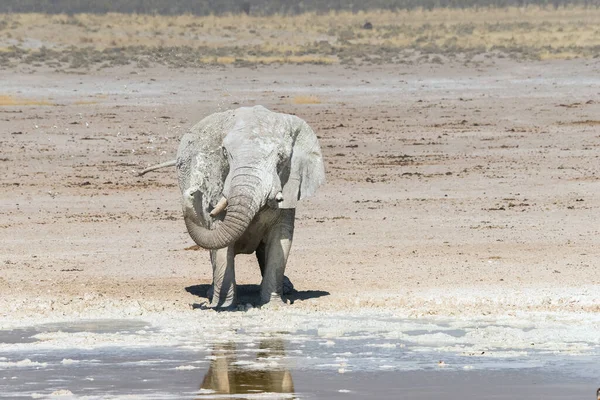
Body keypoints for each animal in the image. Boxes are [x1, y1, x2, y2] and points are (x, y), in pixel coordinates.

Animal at [139, 104, 326, 308]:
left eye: (282, 158)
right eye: (225, 153)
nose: (192, 192)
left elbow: (280, 241)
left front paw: (274, 305)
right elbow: (220, 242)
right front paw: (223, 306)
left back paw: (287, 288)